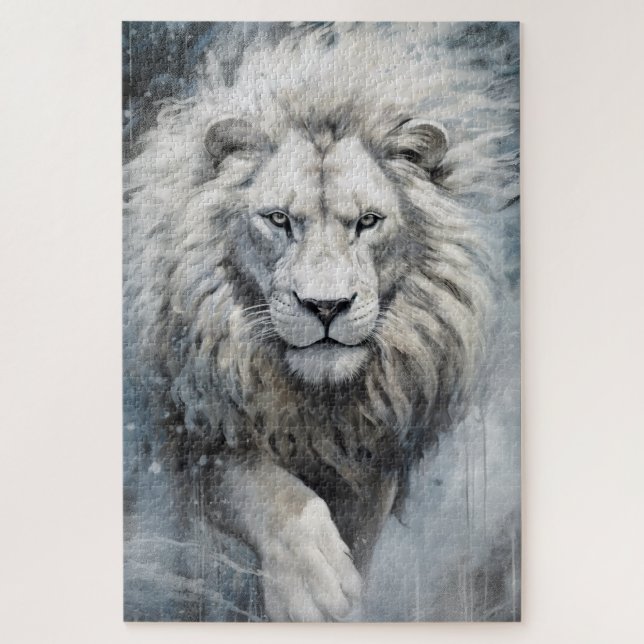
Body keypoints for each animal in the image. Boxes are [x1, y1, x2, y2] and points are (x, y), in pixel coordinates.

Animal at [124, 23, 519, 621]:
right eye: (279, 219)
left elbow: (360, 530)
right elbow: (263, 487)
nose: (327, 306)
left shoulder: (373, 447)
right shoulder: (190, 423)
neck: (318, 406)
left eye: (369, 221)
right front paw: (315, 581)